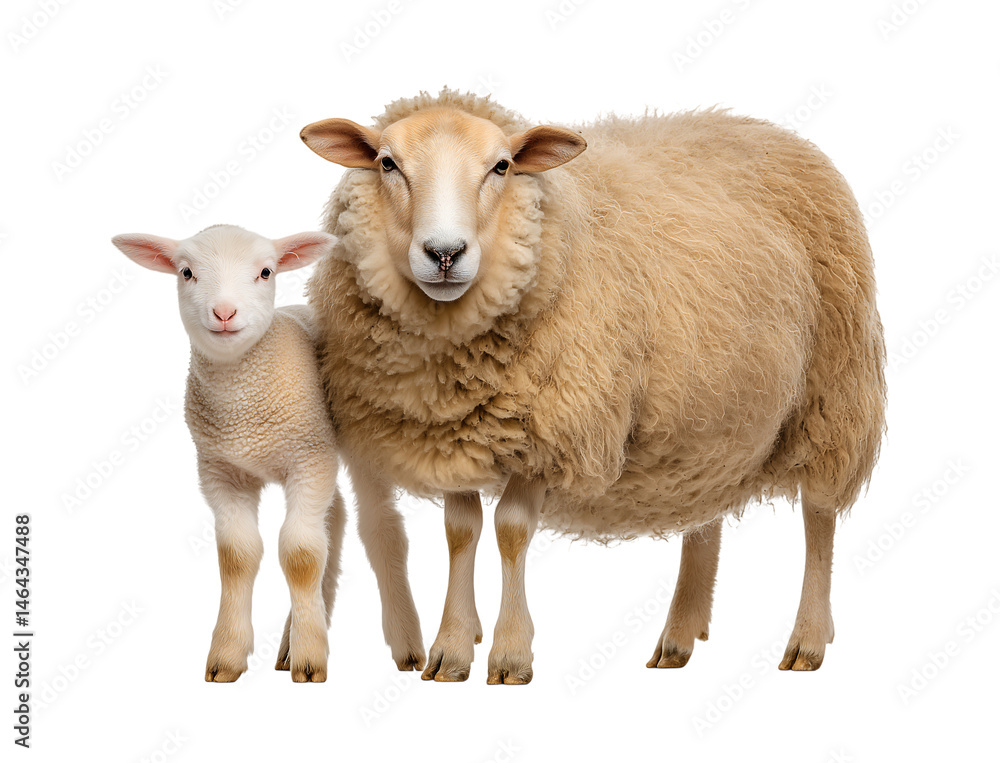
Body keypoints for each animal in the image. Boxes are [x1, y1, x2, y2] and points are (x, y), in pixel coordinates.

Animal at [111, 224, 344, 683]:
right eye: (185, 272)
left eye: (266, 272)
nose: (223, 312)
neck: (243, 414)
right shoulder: (219, 470)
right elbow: (237, 556)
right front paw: (227, 656)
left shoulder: (310, 458)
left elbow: (301, 553)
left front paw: (310, 659)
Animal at [299, 89, 886, 684]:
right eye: (386, 163)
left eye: (502, 166)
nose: (444, 253)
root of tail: (765, 128)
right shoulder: (454, 437)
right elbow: (460, 531)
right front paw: (452, 649)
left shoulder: (552, 431)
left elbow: (511, 529)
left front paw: (510, 654)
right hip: (712, 411)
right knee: (705, 503)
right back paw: (680, 636)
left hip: (833, 393)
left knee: (819, 516)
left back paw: (807, 641)